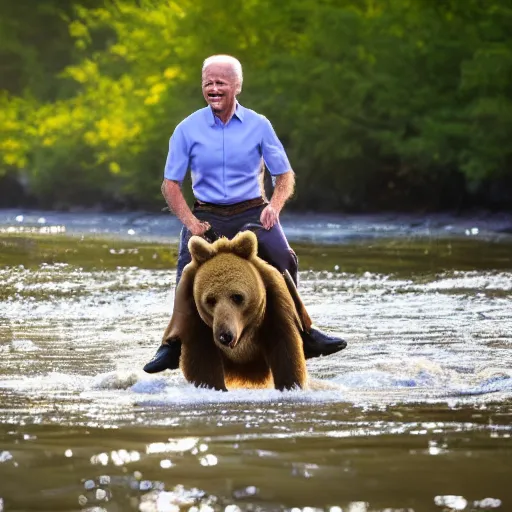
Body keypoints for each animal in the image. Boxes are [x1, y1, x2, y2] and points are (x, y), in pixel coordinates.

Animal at [161, 230, 308, 390]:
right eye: (210, 300)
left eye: (237, 296)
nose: (225, 335)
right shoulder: (194, 320)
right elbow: (203, 364)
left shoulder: (275, 310)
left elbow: (285, 352)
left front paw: (290, 384)